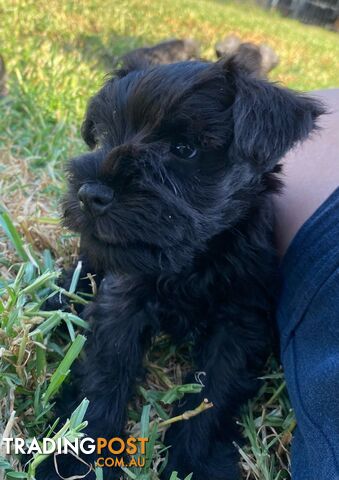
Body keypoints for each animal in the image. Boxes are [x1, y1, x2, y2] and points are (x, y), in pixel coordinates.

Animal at [37, 50, 324, 478]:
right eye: (108, 136)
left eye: (184, 149)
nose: (91, 194)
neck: (192, 261)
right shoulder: (123, 297)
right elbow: (106, 368)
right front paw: (77, 457)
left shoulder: (239, 323)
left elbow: (214, 391)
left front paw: (196, 460)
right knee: (82, 268)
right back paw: (55, 304)